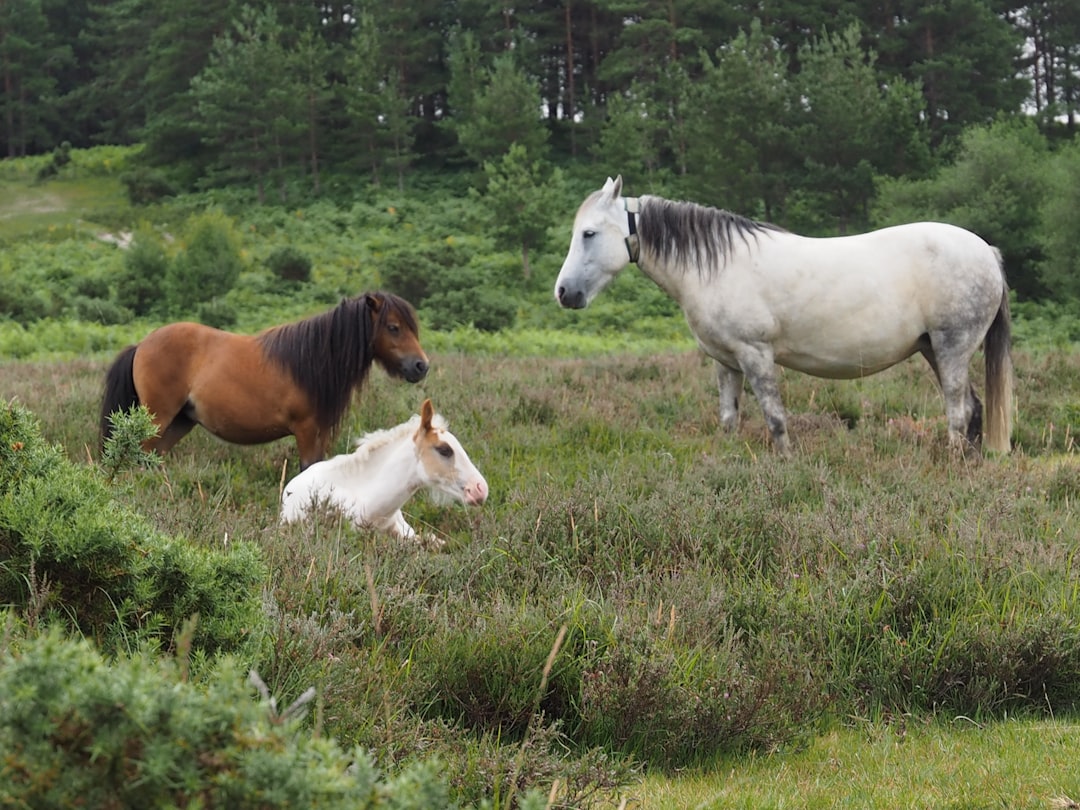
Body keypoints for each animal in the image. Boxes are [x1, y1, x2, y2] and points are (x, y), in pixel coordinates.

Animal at [101, 291, 427, 468]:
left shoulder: (319, 433)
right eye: (394, 327)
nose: (421, 365)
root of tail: (141, 345)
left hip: (180, 421)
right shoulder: (306, 431)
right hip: (158, 417)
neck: (314, 360)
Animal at [557, 176, 1010, 457]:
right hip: (934, 349)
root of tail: (986, 251)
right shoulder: (726, 362)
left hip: (952, 348)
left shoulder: (755, 354)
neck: (718, 266)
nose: (564, 293)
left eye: (589, 234)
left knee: (958, 411)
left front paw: (787, 465)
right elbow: (729, 418)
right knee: (973, 409)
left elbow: (775, 419)